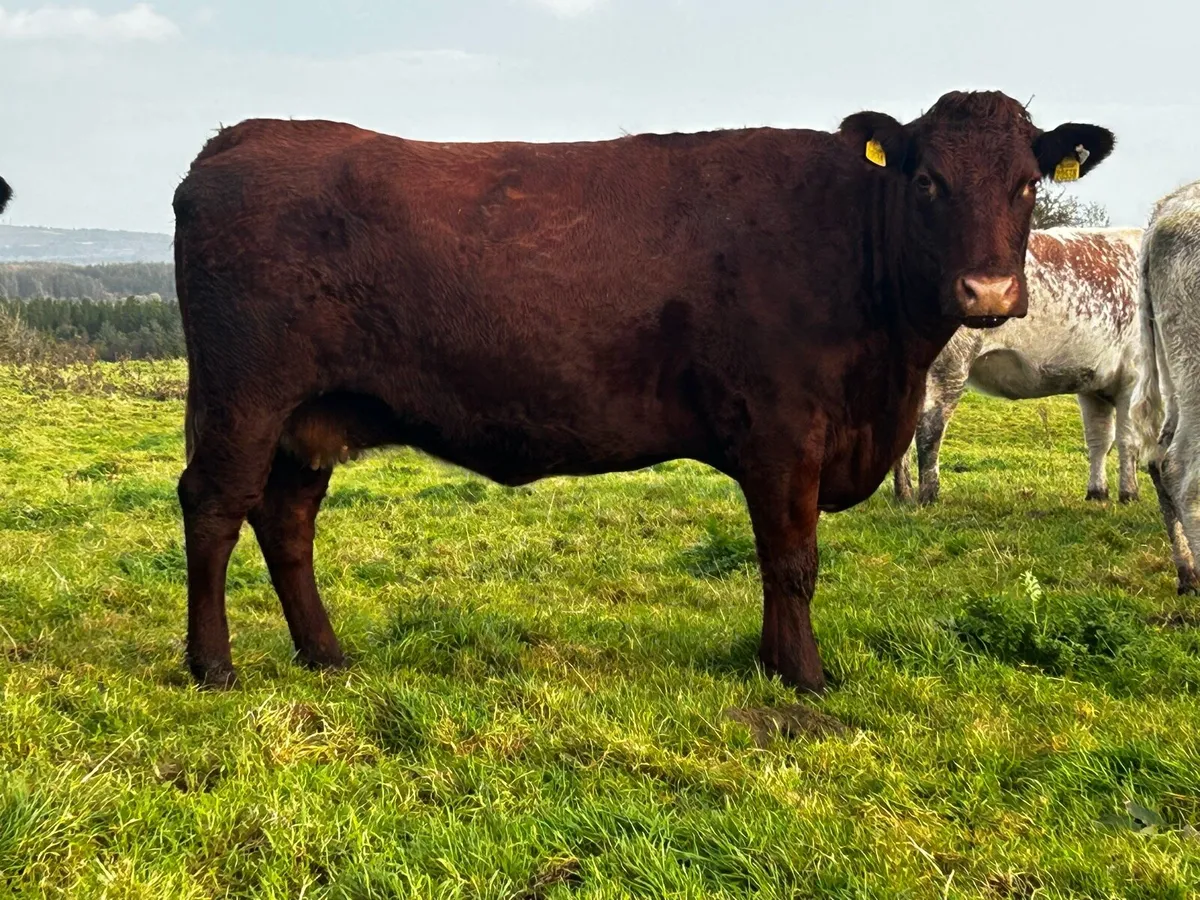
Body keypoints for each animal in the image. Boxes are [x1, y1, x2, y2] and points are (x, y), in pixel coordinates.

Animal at [173, 90, 1114, 693]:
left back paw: (325, 655)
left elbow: (777, 561)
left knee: (287, 520)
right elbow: (792, 559)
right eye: (927, 181)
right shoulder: (785, 431)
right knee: (215, 507)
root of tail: (240, 137)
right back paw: (212, 666)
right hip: (244, 398)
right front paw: (805, 677)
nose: (988, 292)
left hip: (308, 418)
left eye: (1028, 183)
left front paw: (772, 662)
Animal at [893, 227, 1144, 505]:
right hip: (949, 364)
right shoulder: (1134, 376)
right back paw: (929, 496)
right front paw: (1130, 494)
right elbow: (1128, 440)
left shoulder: (1093, 383)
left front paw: (1097, 493)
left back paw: (904, 495)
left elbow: (1099, 440)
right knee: (930, 427)